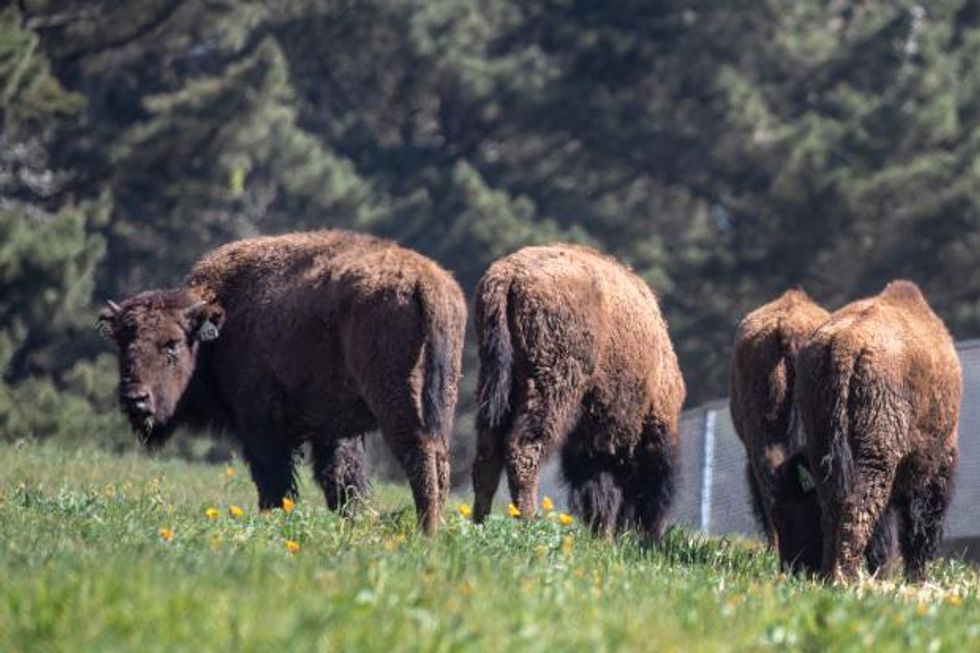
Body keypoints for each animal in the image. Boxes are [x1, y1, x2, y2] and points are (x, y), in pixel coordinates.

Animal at [97, 232, 466, 532]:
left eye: (172, 344)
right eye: (122, 342)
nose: (135, 398)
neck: (223, 317)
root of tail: (426, 281)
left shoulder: (262, 425)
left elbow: (275, 482)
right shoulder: (333, 431)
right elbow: (342, 482)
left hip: (398, 406)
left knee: (420, 459)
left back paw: (425, 531)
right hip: (441, 402)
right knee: (439, 463)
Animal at [470, 244, 684, 540]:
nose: (650, 536)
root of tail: (508, 275)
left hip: (495, 385)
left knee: (487, 457)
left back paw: (479, 523)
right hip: (552, 388)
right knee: (523, 450)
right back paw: (529, 522)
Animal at [792, 280, 960, 580]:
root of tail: (844, 345)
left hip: (822, 445)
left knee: (832, 508)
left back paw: (828, 575)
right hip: (876, 454)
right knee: (858, 508)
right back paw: (847, 577)